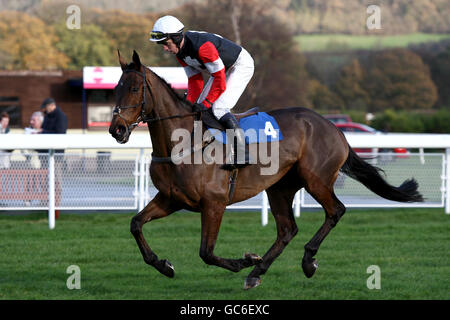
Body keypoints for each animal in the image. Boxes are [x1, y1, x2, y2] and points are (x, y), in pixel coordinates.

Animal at [108, 50, 422, 290]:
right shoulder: (171, 199)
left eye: (134, 88)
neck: (184, 142)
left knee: (336, 211)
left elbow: (206, 252)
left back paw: (306, 261)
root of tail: (334, 128)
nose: (116, 129)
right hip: (280, 187)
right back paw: (257, 273)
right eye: (115, 89)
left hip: (316, 180)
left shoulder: (214, 203)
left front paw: (245, 260)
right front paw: (164, 265)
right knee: (287, 230)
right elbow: (135, 224)